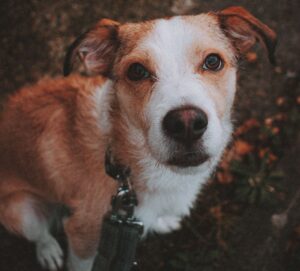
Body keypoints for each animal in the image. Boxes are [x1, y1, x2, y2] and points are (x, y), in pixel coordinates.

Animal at [0, 6, 276, 271]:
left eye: (213, 61)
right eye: (136, 71)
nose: (186, 124)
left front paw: (163, 219)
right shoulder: (83, 236)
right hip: (21, 211)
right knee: (40, 233)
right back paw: (48, 251)